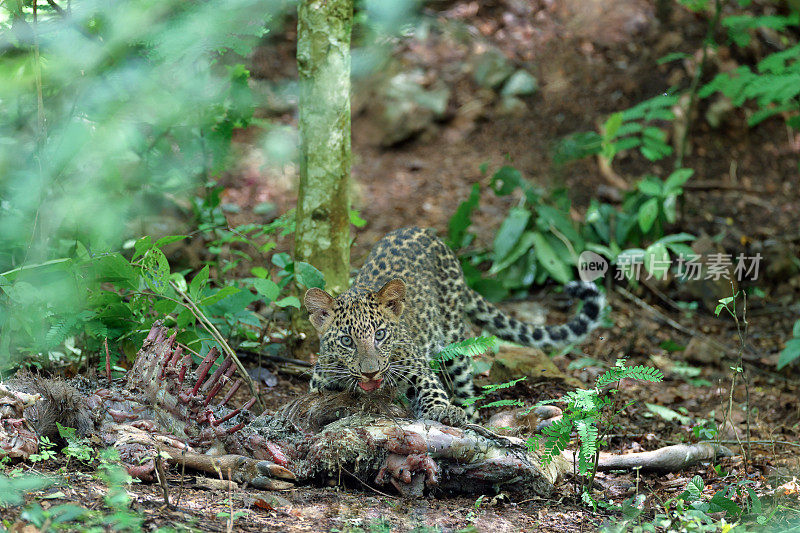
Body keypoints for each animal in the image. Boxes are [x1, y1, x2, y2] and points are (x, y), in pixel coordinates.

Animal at [304, 227, 604, 426]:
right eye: (347, 341)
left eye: (380, 335)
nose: (370, 372)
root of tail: (429, 235)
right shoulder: (321, 380)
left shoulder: (417, 369)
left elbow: (433, 392)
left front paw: (444, 411)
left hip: (455, 348)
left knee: (466, 394)